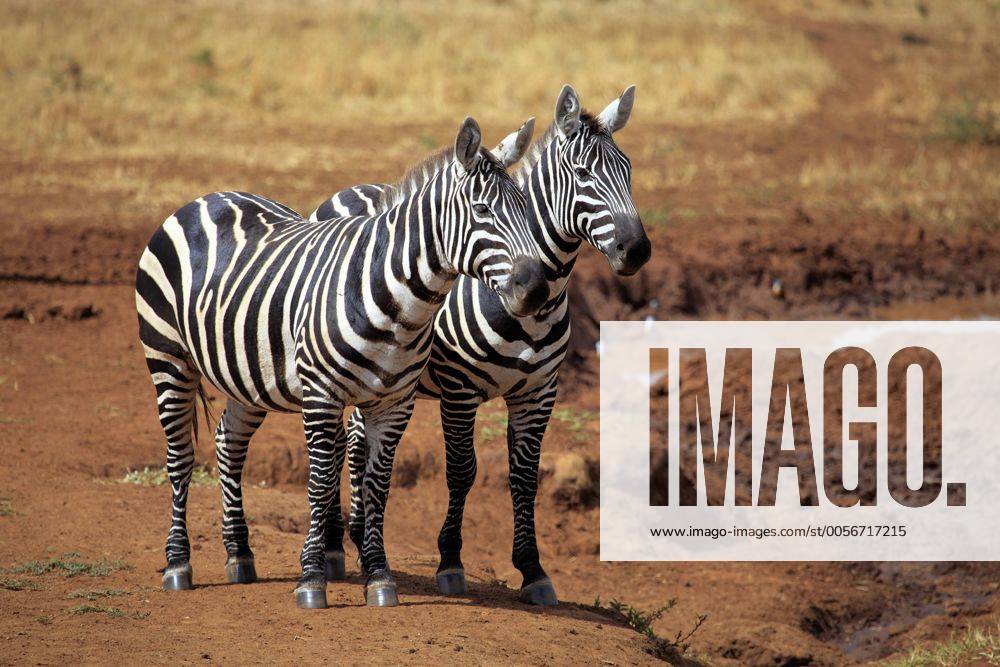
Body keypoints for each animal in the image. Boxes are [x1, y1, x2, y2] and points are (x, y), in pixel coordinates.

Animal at [134, 116, 548, 609]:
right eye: (483, 210)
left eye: (527, 209)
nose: (537, 291)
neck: (401, 301)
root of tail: (206, 197)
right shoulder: (322, 395)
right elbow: (319, 481)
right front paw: (312, 579)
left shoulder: (395, 403)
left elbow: (376, 485)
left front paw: (379, 575)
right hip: (167, 357)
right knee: (179, 456)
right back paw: (179, 563)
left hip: (248, 374)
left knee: (227, 443)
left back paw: (239, 554)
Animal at [306, 85, 651, 606]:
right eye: (583, 173)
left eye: (628, 169)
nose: (637, 250)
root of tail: (351, 190)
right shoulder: (459, 389)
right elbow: (462, 470)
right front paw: (450, 562)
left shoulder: (539, 392)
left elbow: (525, 477)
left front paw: (533, 569)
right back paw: (331, 548)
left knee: (359, 443)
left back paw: (359, 536)